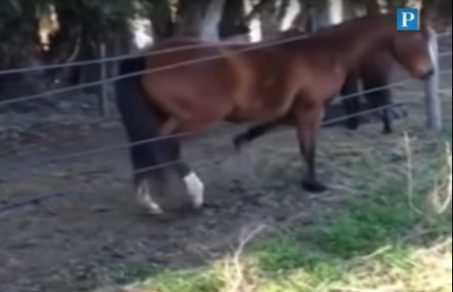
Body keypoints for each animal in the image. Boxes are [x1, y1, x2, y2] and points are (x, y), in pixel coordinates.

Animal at [115, 13, 434, 214]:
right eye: (417, 37)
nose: (429, 72)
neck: (326, 51)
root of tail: (146, 56)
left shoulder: (287, 112)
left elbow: (256, 133)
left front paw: (244, 157)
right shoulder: (310, 110)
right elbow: (308, 149)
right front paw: (313, 184)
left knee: (142, 148)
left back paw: (148, 203)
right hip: (197, 118)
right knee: (162, 146)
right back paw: (195, 195)